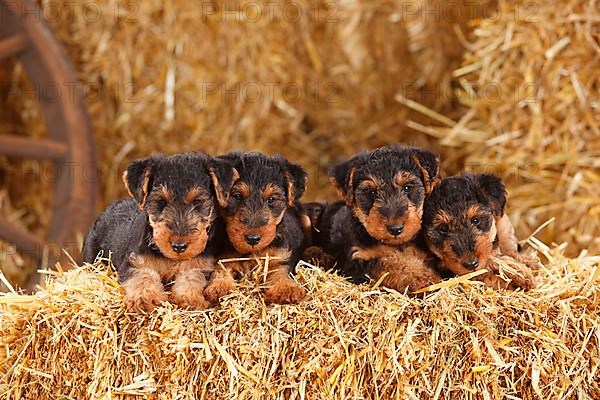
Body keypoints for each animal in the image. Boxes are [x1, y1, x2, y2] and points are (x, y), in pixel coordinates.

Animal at [82, 152, 237, 310]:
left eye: (197, 202)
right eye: (161, 201)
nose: (179, 246)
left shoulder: (199, 264)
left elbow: (191, 276)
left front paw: (189, 299)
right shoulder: (135, 261)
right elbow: (143, 275)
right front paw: (144, 298)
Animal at [206, 152, 310, 304]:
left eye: (271, 199)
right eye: (237, 196)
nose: (253, 239)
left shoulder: (280, 256)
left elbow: (281, 269)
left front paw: (286, 288)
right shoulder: (225, 257)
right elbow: (221, 268)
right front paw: (219, 286)